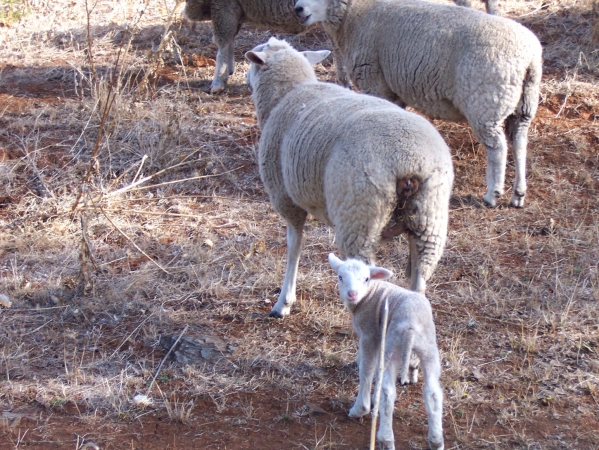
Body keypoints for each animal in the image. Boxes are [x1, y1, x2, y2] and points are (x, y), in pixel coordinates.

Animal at [245, 39, 454, 320]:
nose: (246, 78)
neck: (289, 93)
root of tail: (409, 162)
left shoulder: (287, 198)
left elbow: (294, 247)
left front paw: (283, 302)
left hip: (358, 214)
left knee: (367, 272)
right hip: (429, 217)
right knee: (421, 275)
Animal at [296, 0, 544, 207]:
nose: (298, 8)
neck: (355, 15)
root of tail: (530, 58)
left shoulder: (375, 82)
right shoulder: (392, 92)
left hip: (486, 101)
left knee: (498, 148)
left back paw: (493, 194)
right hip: (523, 104)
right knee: (519, 141)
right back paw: (518, 194)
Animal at [328, 253, 446, 450]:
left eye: (366, 278)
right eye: (340, 277)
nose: (352, 294)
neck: (370, 294)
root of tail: (411, 327)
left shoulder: (371, 334)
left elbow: (367, 369)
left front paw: (363, 407)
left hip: (392, 344)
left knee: (388, 391)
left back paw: (385, 437)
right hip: (428, 347)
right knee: (433, 392)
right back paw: (436, 441)